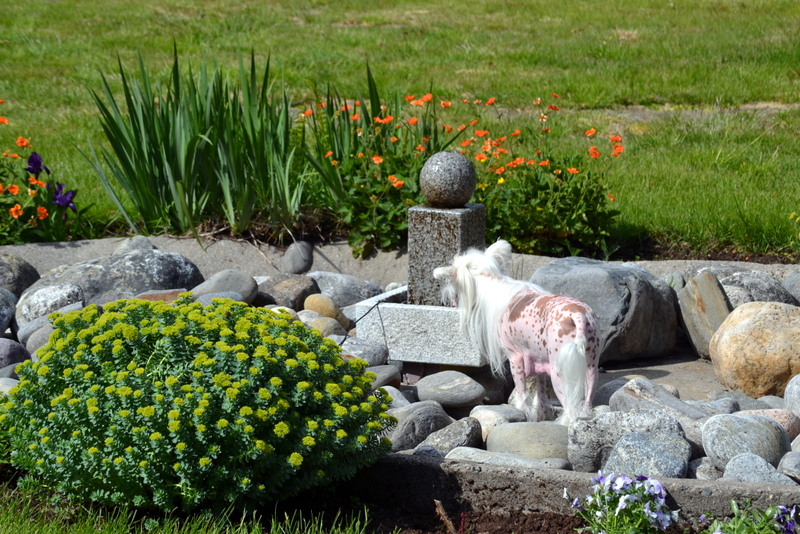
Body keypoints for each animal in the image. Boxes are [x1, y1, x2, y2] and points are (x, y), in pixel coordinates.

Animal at [433, 240, 599, 425]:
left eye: (450, 282)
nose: (447, 299)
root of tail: (578, 314)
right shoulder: (539, 361)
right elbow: (541, 394)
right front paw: (541, 415)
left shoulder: (515, 358)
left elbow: (522, 393)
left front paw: (523, 414)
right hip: (591, 368)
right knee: (587, 402)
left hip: (561, 373)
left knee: (570, 410)